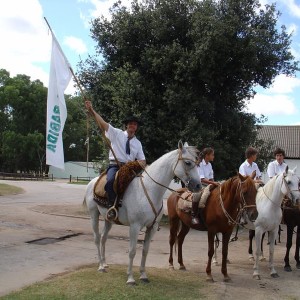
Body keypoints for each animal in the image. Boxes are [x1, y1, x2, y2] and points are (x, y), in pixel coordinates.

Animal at [84, 142, 202, 284]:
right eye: (188, 163)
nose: (198, 186)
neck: (149, 189)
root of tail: (92, 182)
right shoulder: (135, 227)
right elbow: (132, 251)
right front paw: (130, 278)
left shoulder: (152, 227)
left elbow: (145, 250)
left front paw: (143, 275)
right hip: (94, 215)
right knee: (97, 238)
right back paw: (101, 266)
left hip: (109, 220)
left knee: (103, 238)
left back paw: (105, 263)